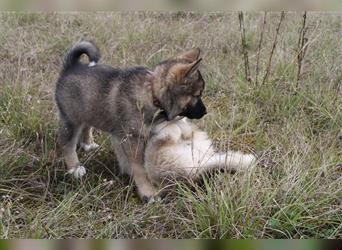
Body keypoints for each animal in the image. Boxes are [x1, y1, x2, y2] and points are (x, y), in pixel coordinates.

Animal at [54, 40, 207, 202]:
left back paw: (88, 144)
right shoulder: (132, 139)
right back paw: (74, 168)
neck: (152, 94)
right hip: (71, 119)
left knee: (87, 125)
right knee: (67, 144)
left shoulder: (134, 137)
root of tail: (71, 66)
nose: (205, 111)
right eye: (197, 95)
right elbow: (140, 168)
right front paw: (148, 192)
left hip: (88, 109)